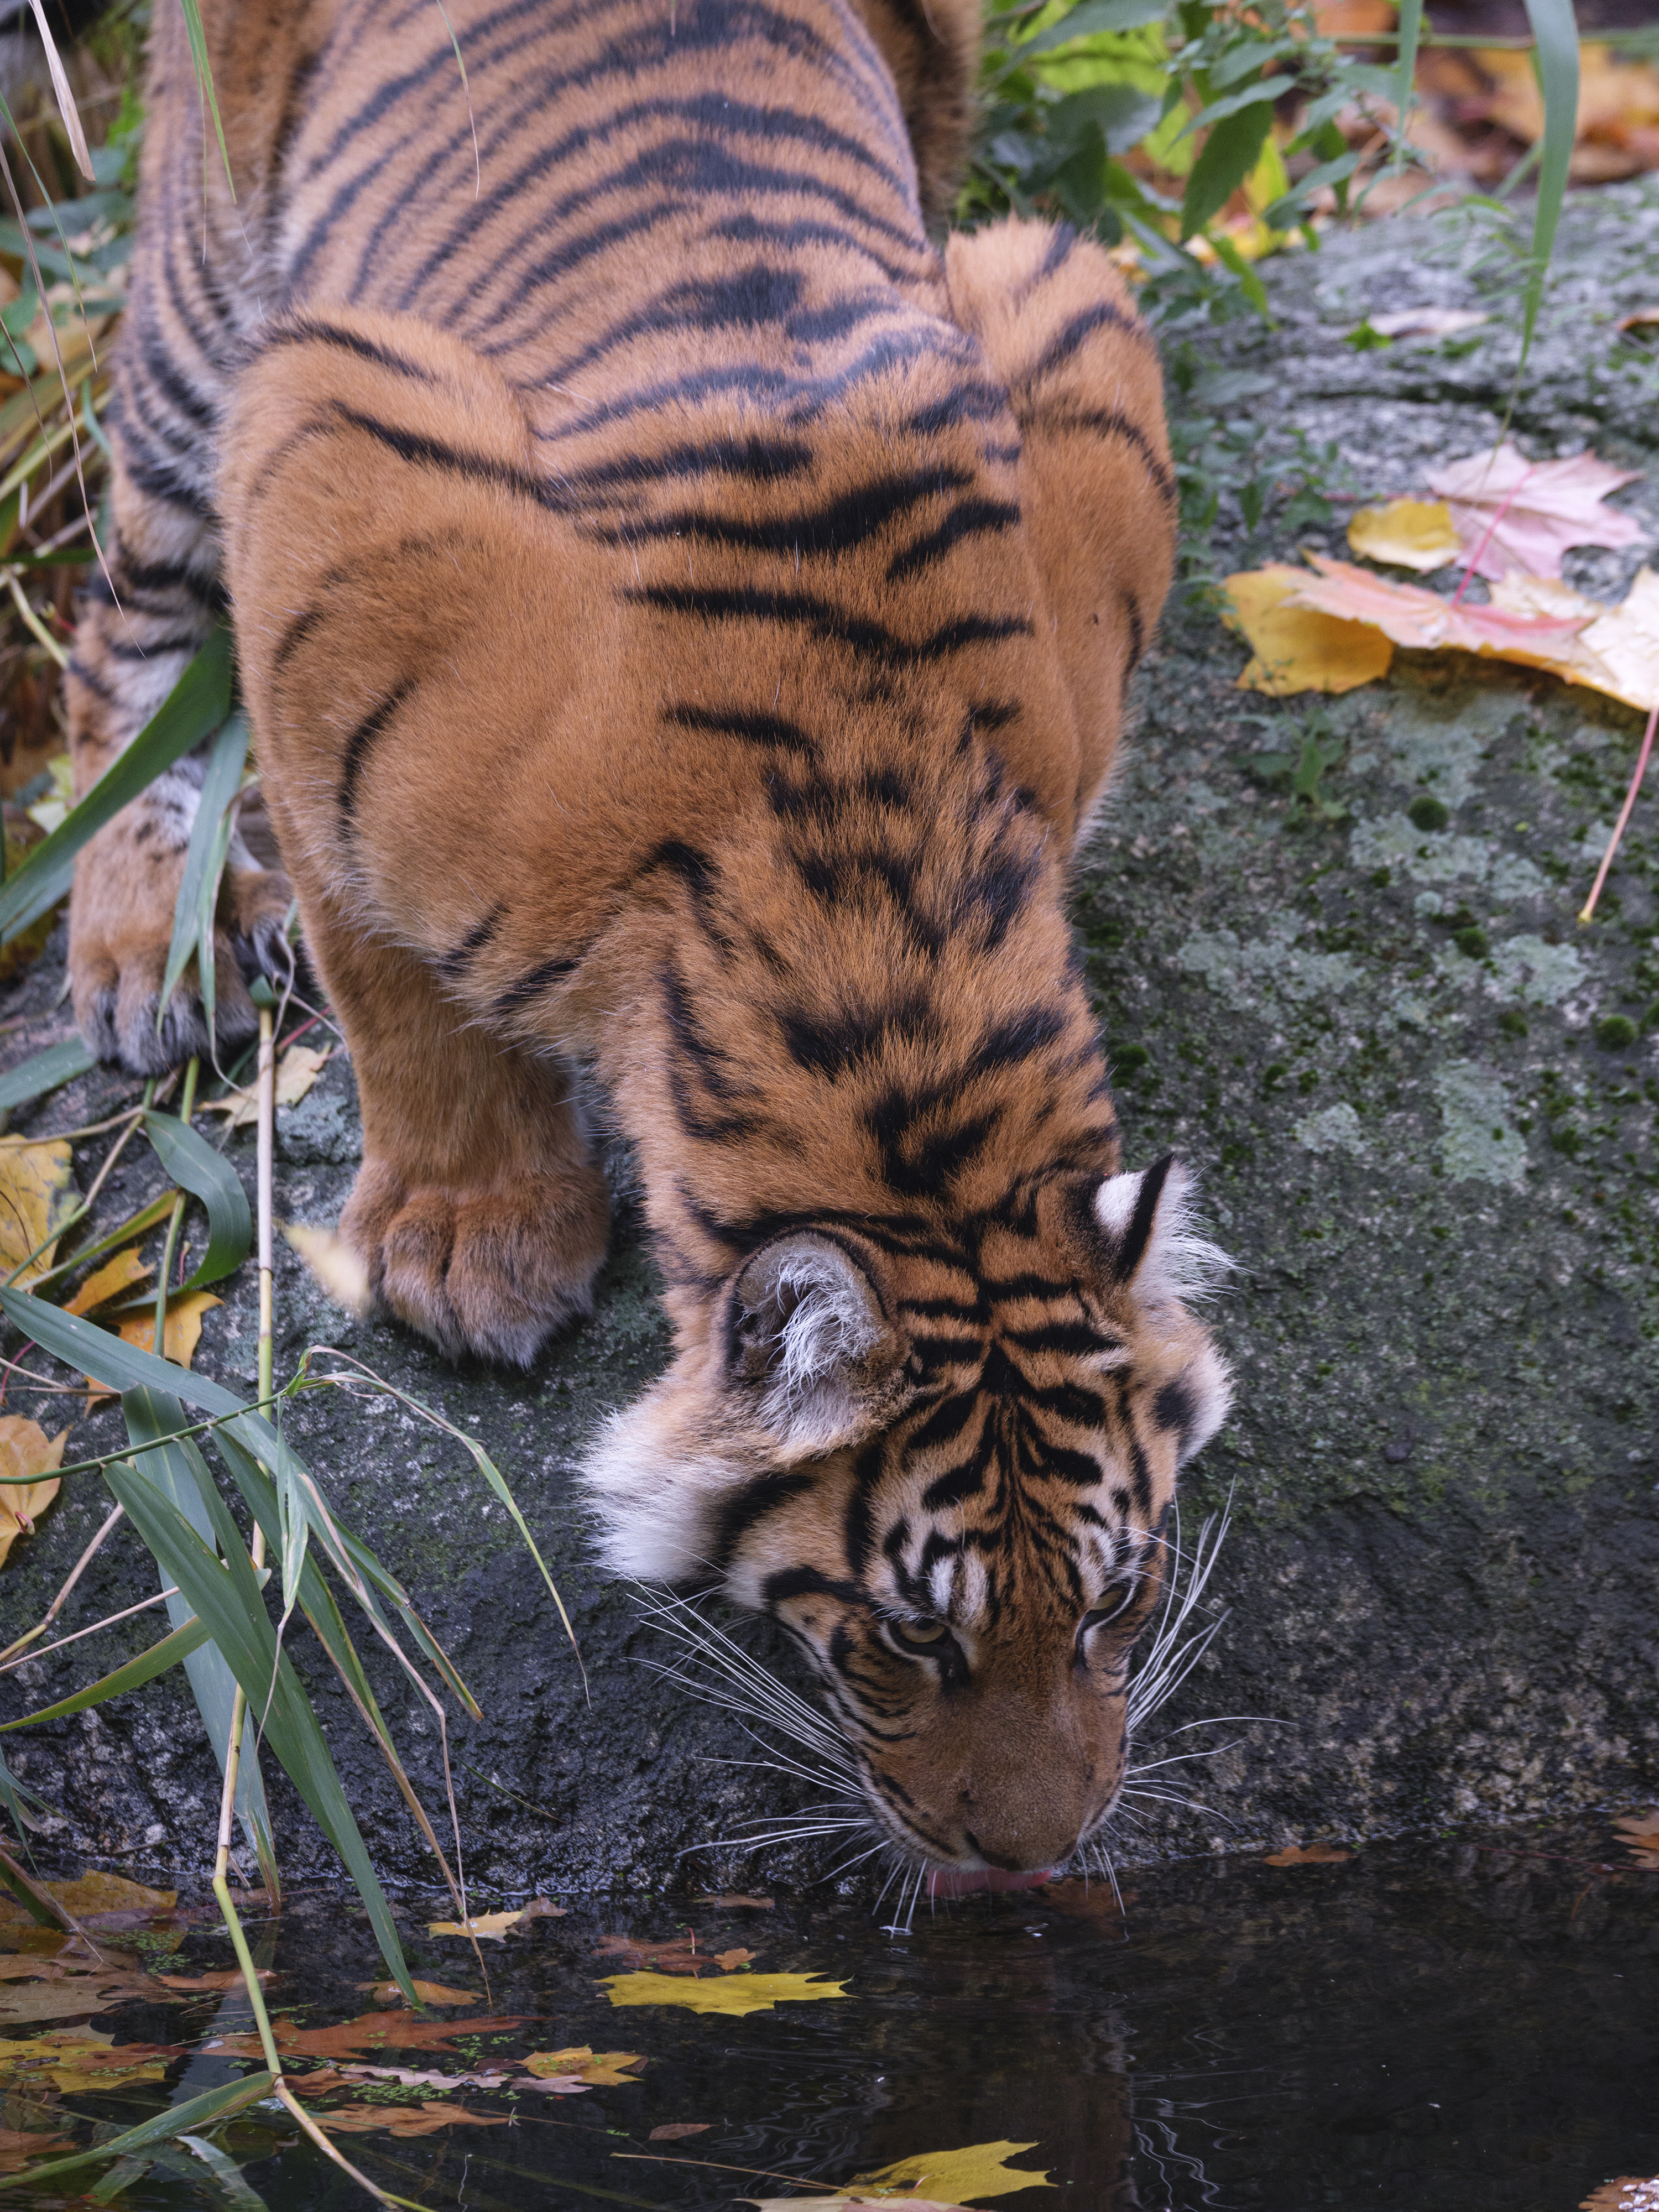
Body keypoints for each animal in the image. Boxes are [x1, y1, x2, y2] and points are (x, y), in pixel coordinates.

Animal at [63, 0, 1233, 1885]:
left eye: (1115, 1603)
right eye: (912, 1632)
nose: (1035, 1860)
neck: (881, 908)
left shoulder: (1070, 310)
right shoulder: (322, 456)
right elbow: (392, 983)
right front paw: (470, 1242)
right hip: (200, 304)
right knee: (121, 623)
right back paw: (136, 939)